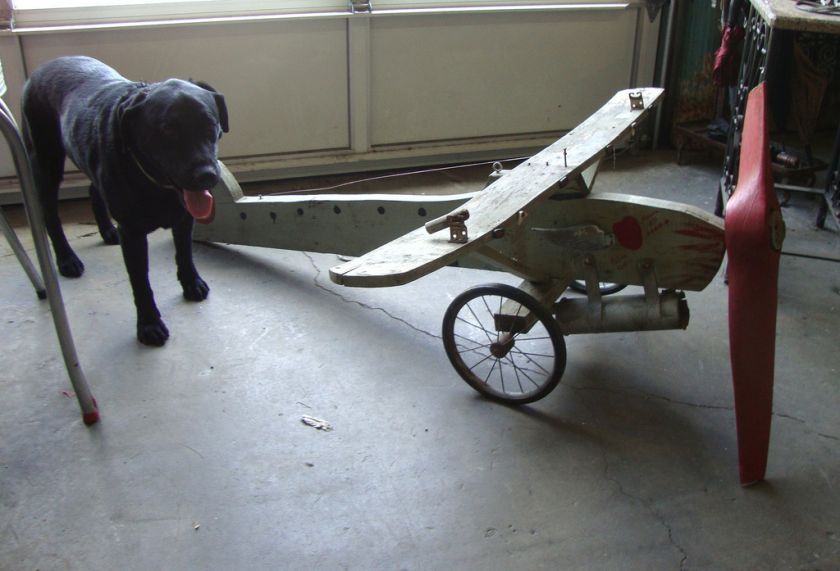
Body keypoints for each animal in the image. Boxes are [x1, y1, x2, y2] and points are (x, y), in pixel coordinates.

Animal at [23, 57, 226, 348]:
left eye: (210, 125)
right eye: (168, 130)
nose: (206, 175)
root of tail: (44, 66)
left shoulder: (184, 218)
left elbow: (185, 253)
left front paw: (191, 282)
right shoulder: (132, 233)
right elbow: (141, 282)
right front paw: (149, 324)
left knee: (93, 189)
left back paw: (107, 231)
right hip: (45, 160)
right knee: (50, 212)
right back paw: (66, 259)